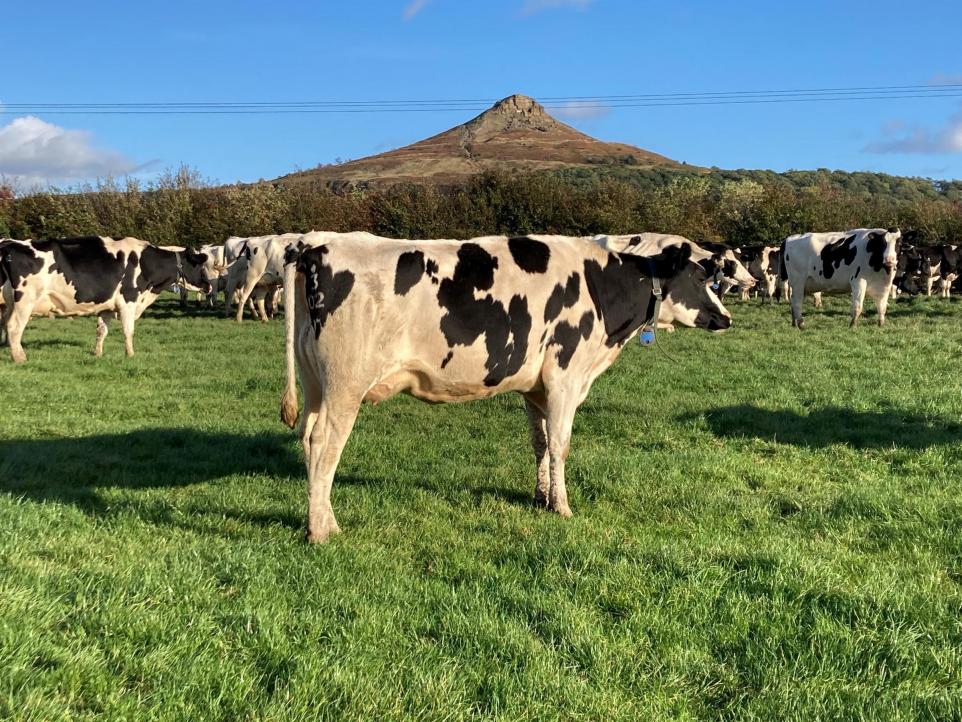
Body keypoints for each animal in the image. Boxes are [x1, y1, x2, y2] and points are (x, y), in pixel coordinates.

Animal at [0, 235, 212, 360]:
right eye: (199, 266)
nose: (209, 285)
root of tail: (10, 245)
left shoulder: (107, 307)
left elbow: (101, 331)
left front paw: (97, 353)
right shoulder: (128, 300)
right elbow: (128, 331)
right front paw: (130, 355)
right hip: (25, 301)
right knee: (14, 327)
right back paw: (20, 357)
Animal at [282, 235, 732, 540]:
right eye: (699, 278)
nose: (725, 318)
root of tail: (314, 247)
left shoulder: (537, 387)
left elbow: (540, 442)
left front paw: (541, 496)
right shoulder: (566, 377)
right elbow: (561, 445)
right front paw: (562, 506)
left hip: (315, 382)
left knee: (307, 437)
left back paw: (323, 517)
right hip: (345, 384)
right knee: (325, 444)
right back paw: (320, 531)